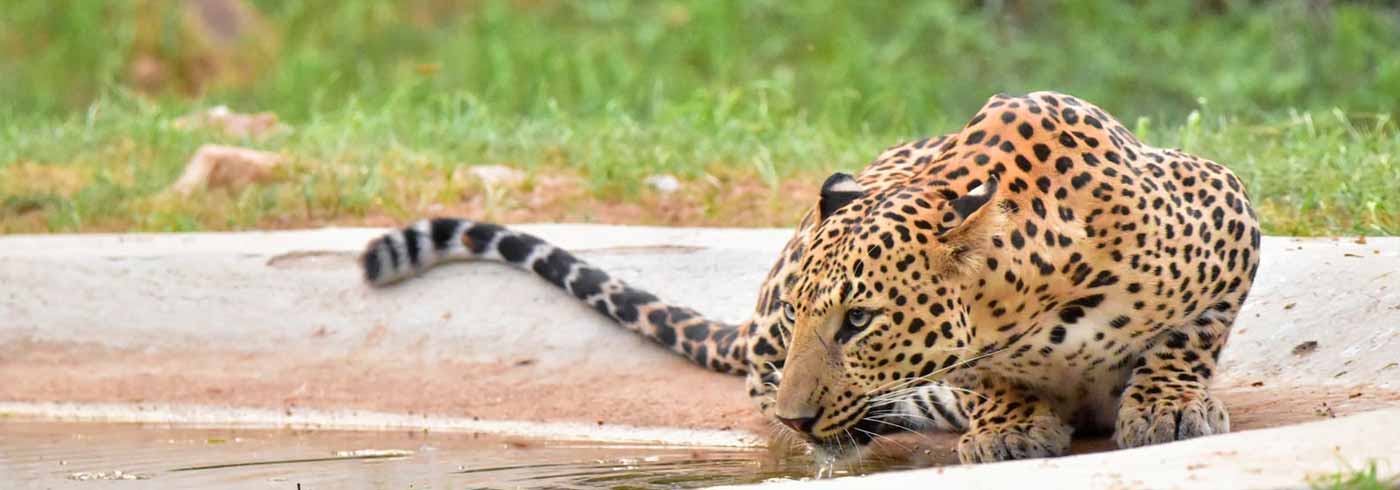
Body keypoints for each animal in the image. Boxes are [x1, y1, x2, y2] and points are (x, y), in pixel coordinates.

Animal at [360, 91, 1261, 465]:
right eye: (806, 319)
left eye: (859, 321)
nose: (797, 418)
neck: (1040, 311)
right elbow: (986, 378)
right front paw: (1008, 424)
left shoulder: (1227, 204)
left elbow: (1188, 334)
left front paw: (1169, 406)